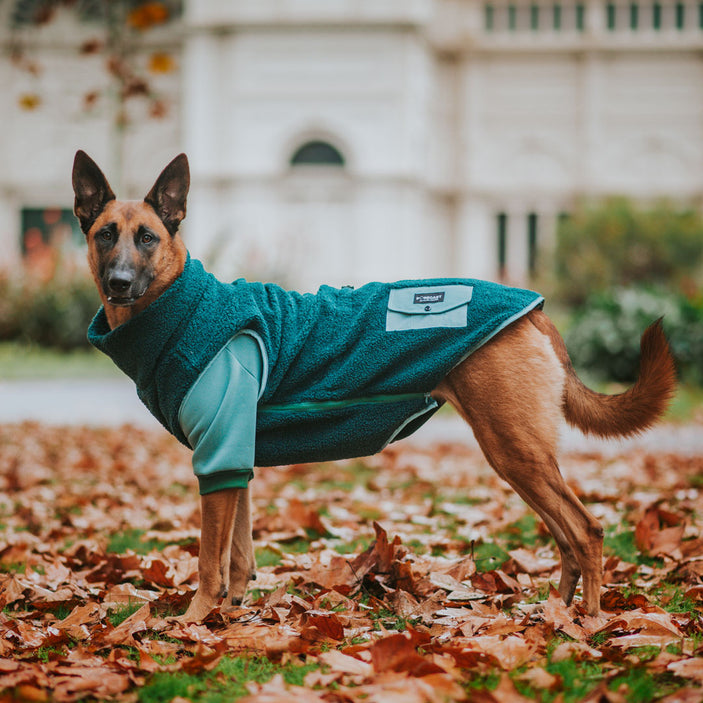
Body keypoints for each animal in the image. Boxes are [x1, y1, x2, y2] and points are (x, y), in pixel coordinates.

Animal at [71, 150, 676, 620]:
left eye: (147, 238)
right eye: (105, 235)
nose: (118, 283)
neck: (182, 305)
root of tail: (536, 312)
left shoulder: (218, 460)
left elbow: (207, 562)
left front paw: (194, 622)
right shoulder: (232, 460)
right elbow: (239, 557)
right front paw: (234, 617)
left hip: (516, 451)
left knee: (588, 531)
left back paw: (589, 624)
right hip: (518, 459)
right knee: (568, 538)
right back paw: (557, 612)